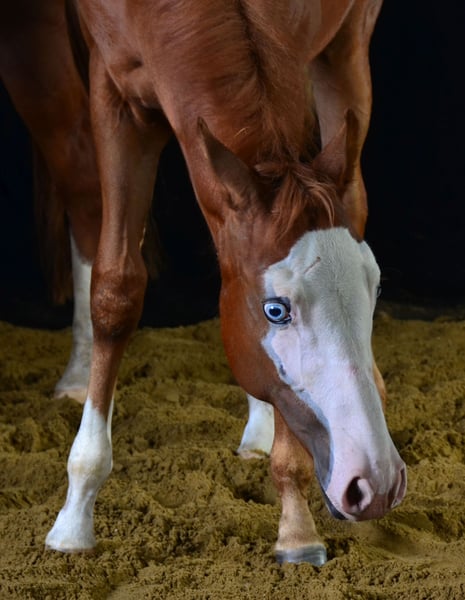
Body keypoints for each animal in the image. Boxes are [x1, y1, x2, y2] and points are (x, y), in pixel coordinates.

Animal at [1, 0, 406, 567]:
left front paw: (295, 524)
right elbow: (116, 290)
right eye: (275, 310)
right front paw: (74, 519)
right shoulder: (117, 95)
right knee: (80, 187)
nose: (376, 482)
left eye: (376, 291)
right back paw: (78, 373)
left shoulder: (319, 46)